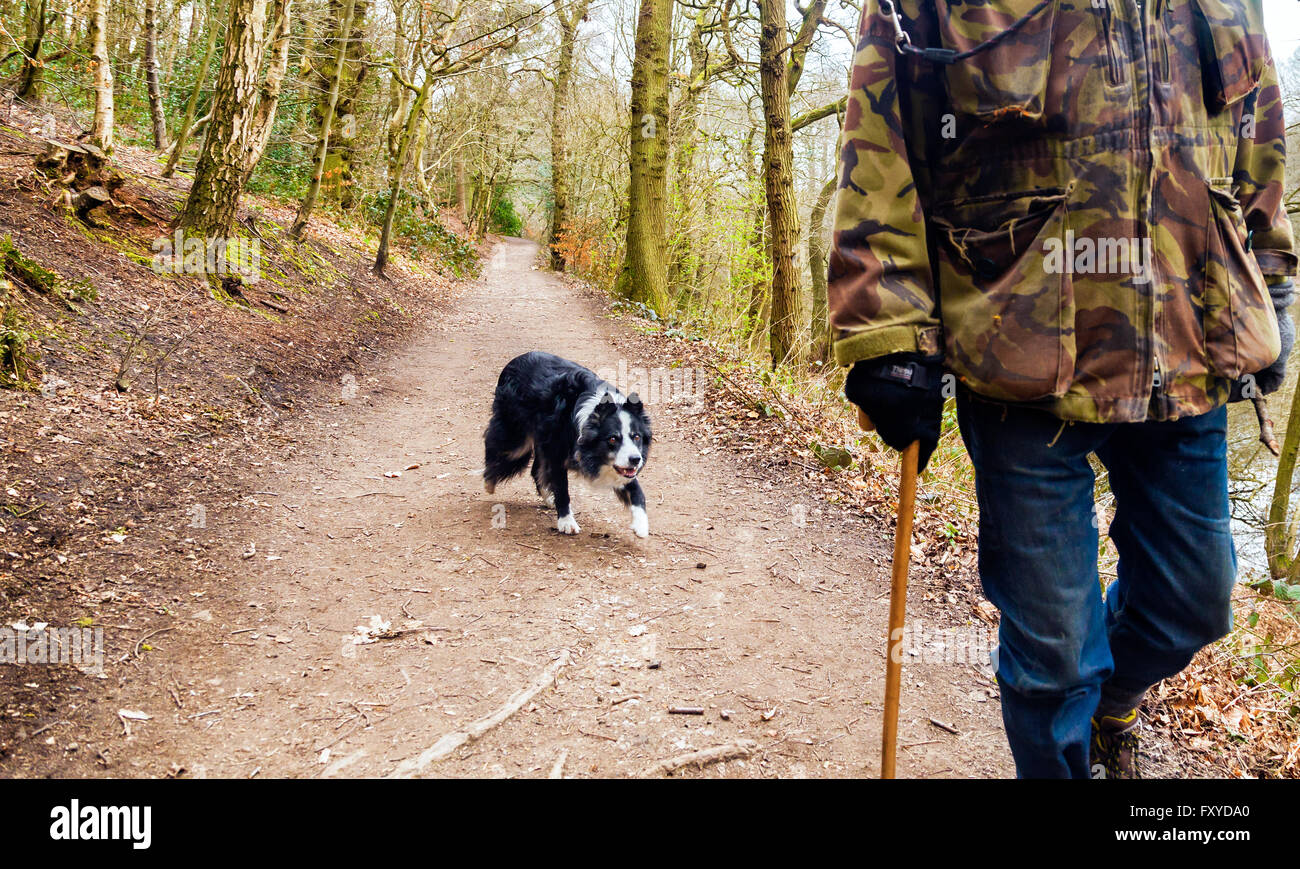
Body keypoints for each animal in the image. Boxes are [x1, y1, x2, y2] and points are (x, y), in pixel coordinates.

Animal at [486, 351, 655, 535]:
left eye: (636, 437)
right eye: (612, 439)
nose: (636, 460)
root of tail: (515, 361)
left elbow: (636, 489)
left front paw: (641, 525)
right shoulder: (557, 451)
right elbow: (562, 488)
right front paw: (567, 522)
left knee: (536, 468)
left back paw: (548, 498)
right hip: (516, 436)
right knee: (498, 448)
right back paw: (489, 483)